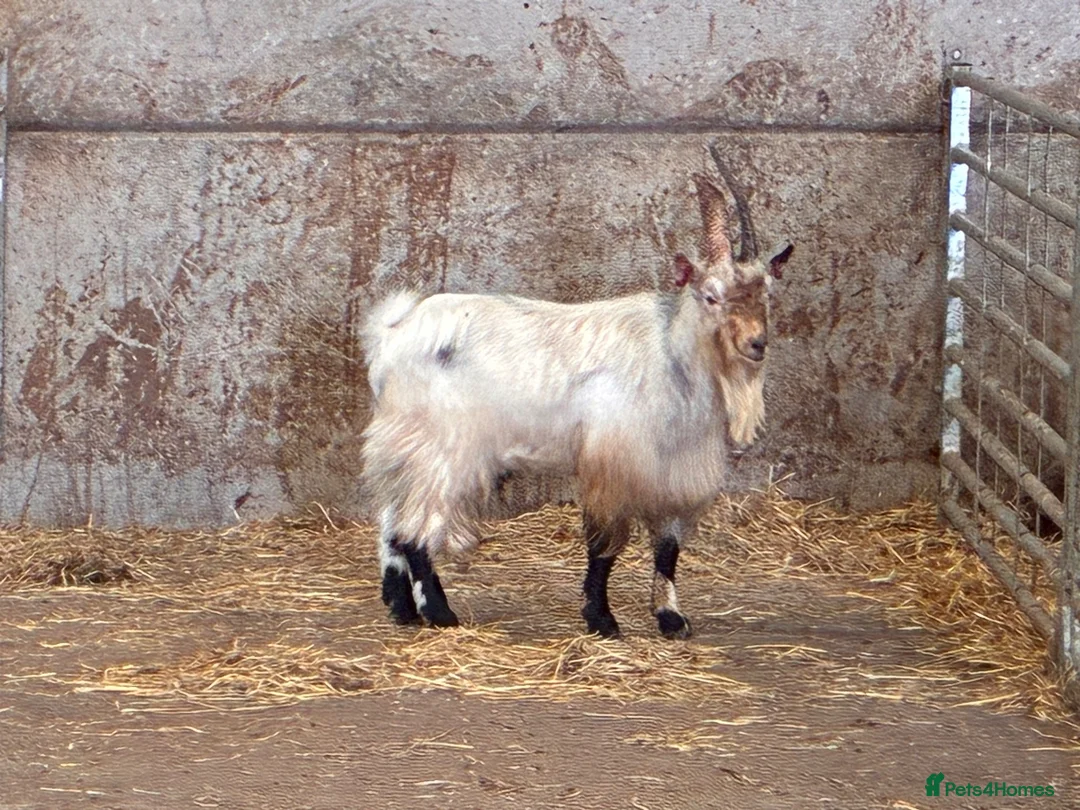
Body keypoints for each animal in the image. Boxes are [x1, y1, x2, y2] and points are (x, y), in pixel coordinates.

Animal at [362, 144, 793, 638]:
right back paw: (439, 613)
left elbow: (667, 548)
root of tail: (393, 332)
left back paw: (401, 608)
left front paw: (670, 618)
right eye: (711, 296)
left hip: (403, 443)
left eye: (767, 294)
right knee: (416, 527)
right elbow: (604, 544)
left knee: (391, 520)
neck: (673, 354)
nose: (756, 344)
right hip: (442, 446)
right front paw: (602, 619)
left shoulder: (672, 470)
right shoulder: (614, 462)